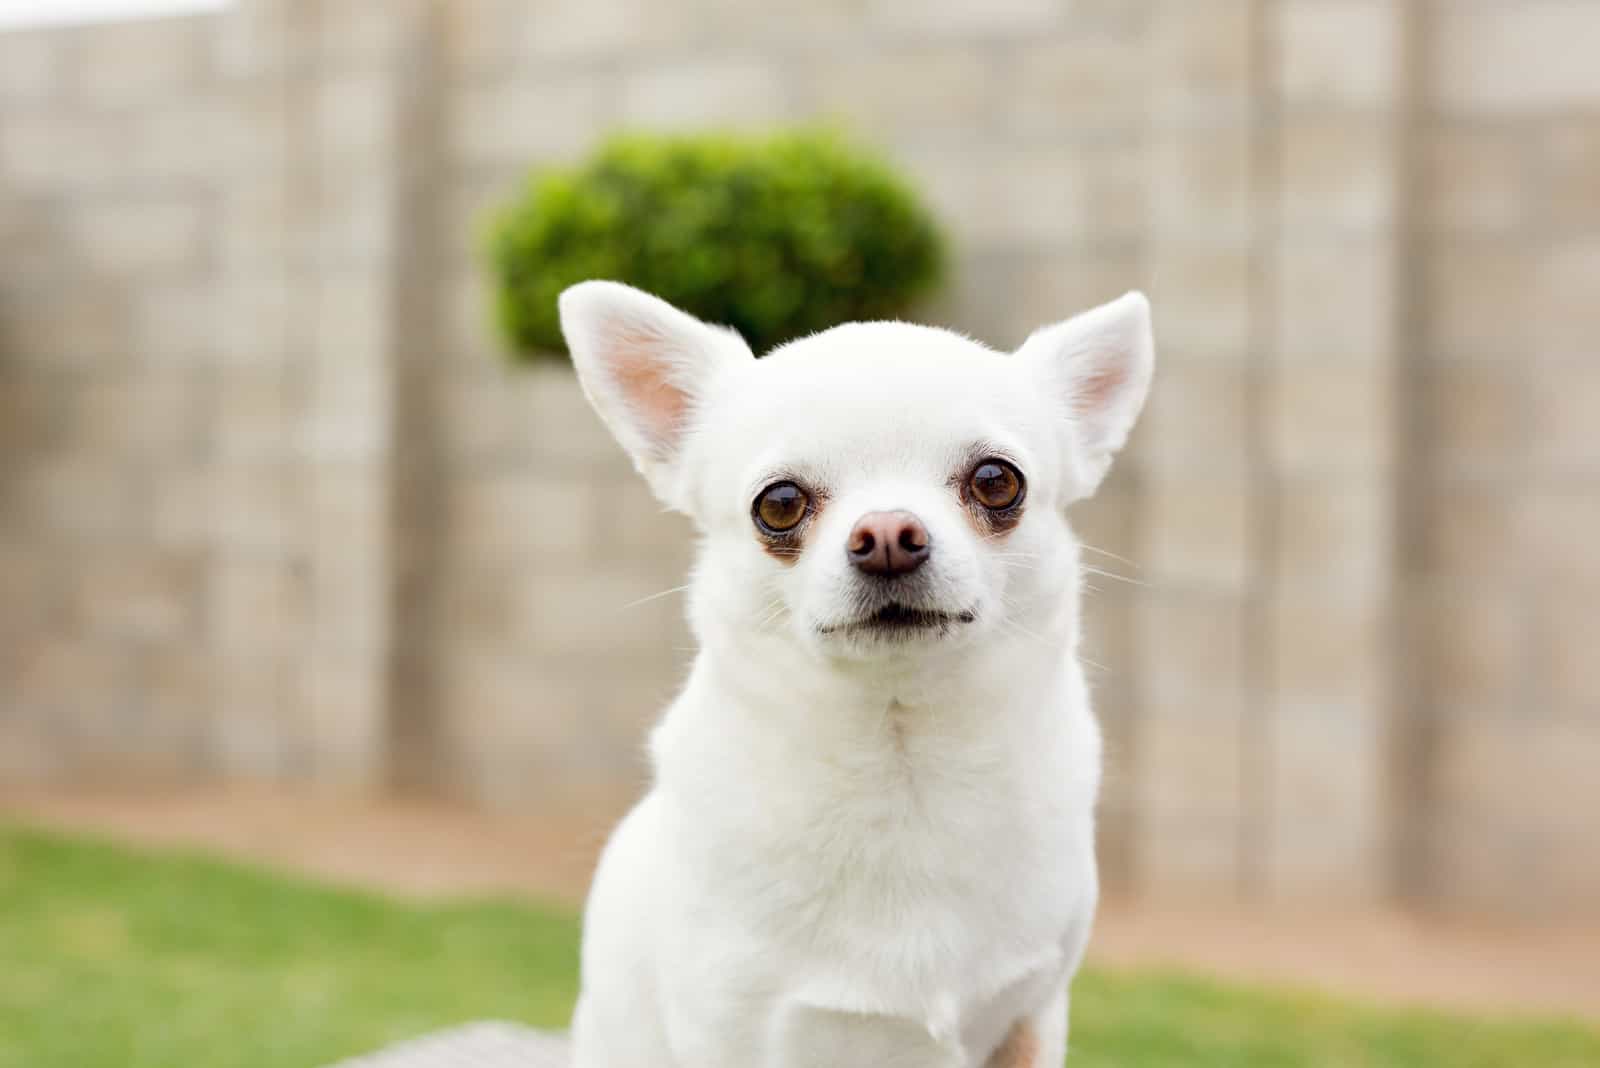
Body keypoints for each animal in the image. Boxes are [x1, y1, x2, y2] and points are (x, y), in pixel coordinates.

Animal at [560, 281, 1152, 1068]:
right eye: (779, 503)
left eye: (997, 482)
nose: (889, 535)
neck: (900, 771)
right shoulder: (725, 1030)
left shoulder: (1032, 1015)